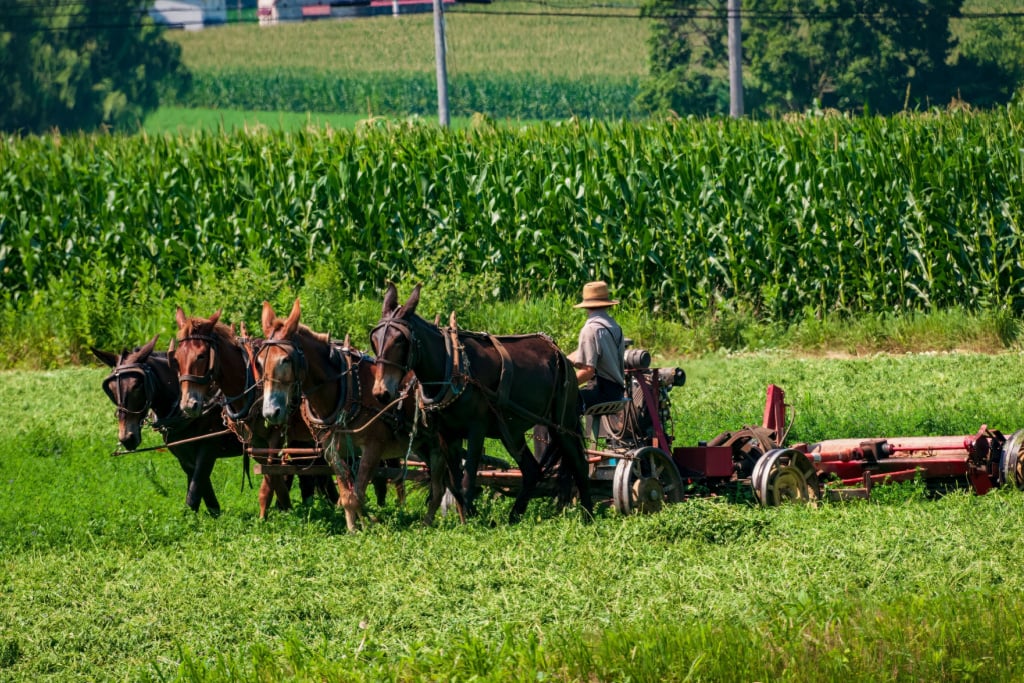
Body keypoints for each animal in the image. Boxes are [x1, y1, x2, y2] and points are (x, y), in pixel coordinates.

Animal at [91, 333, 241, 516]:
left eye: (137, 385)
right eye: (111, 389)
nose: (127, 438)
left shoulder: (209, 445)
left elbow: (195, 487)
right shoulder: (182, 451)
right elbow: (200, 485)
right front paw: (211, 513)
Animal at [172, 309, 335, 518]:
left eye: (201, 356)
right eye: (176, 358)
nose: (188, 405)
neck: (248, 383)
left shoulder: (276, 435)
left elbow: (270, 478)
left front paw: (272, 513)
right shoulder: (254, 440)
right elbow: (273, 476)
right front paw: (283, 508)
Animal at [258, 299, 466, 528]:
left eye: (285, 360)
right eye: (259, 361)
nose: (271, 412)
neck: (345, 389)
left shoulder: (373, 447)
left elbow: (357, 493)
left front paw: (365, 526)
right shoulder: (332, 450)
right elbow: (347, 495)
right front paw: (356, 527)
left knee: (453, 485)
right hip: (426, 445)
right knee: (439, 488)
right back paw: (427, 523)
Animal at [370, 282, 593, 524]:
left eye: (400, 340)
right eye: (374, 340)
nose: (381, 391)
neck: (451, 365)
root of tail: (558, 352)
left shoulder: (476, 428)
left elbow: (467, 481)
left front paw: (472, 522)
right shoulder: (447, 435)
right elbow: (455, 484)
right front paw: (468, 518)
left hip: (562, 424)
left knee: (580, 465)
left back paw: (588, 515)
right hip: (511, 430)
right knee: (532, 470)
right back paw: (514, 516)